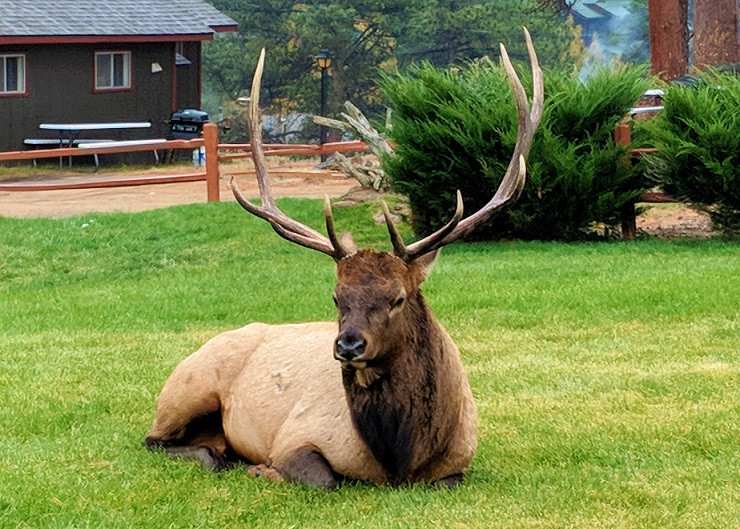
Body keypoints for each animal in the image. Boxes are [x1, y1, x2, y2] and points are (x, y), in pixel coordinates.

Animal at [145, 26, 544, 484]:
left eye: (398, 298)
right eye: (337, 297)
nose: (348, 344)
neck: (399, 460)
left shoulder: (459, 465)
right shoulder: (296, 436)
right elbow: (324, 479)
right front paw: (263, 470)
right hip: (186, 388)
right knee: (157, 441)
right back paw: (224, 458)